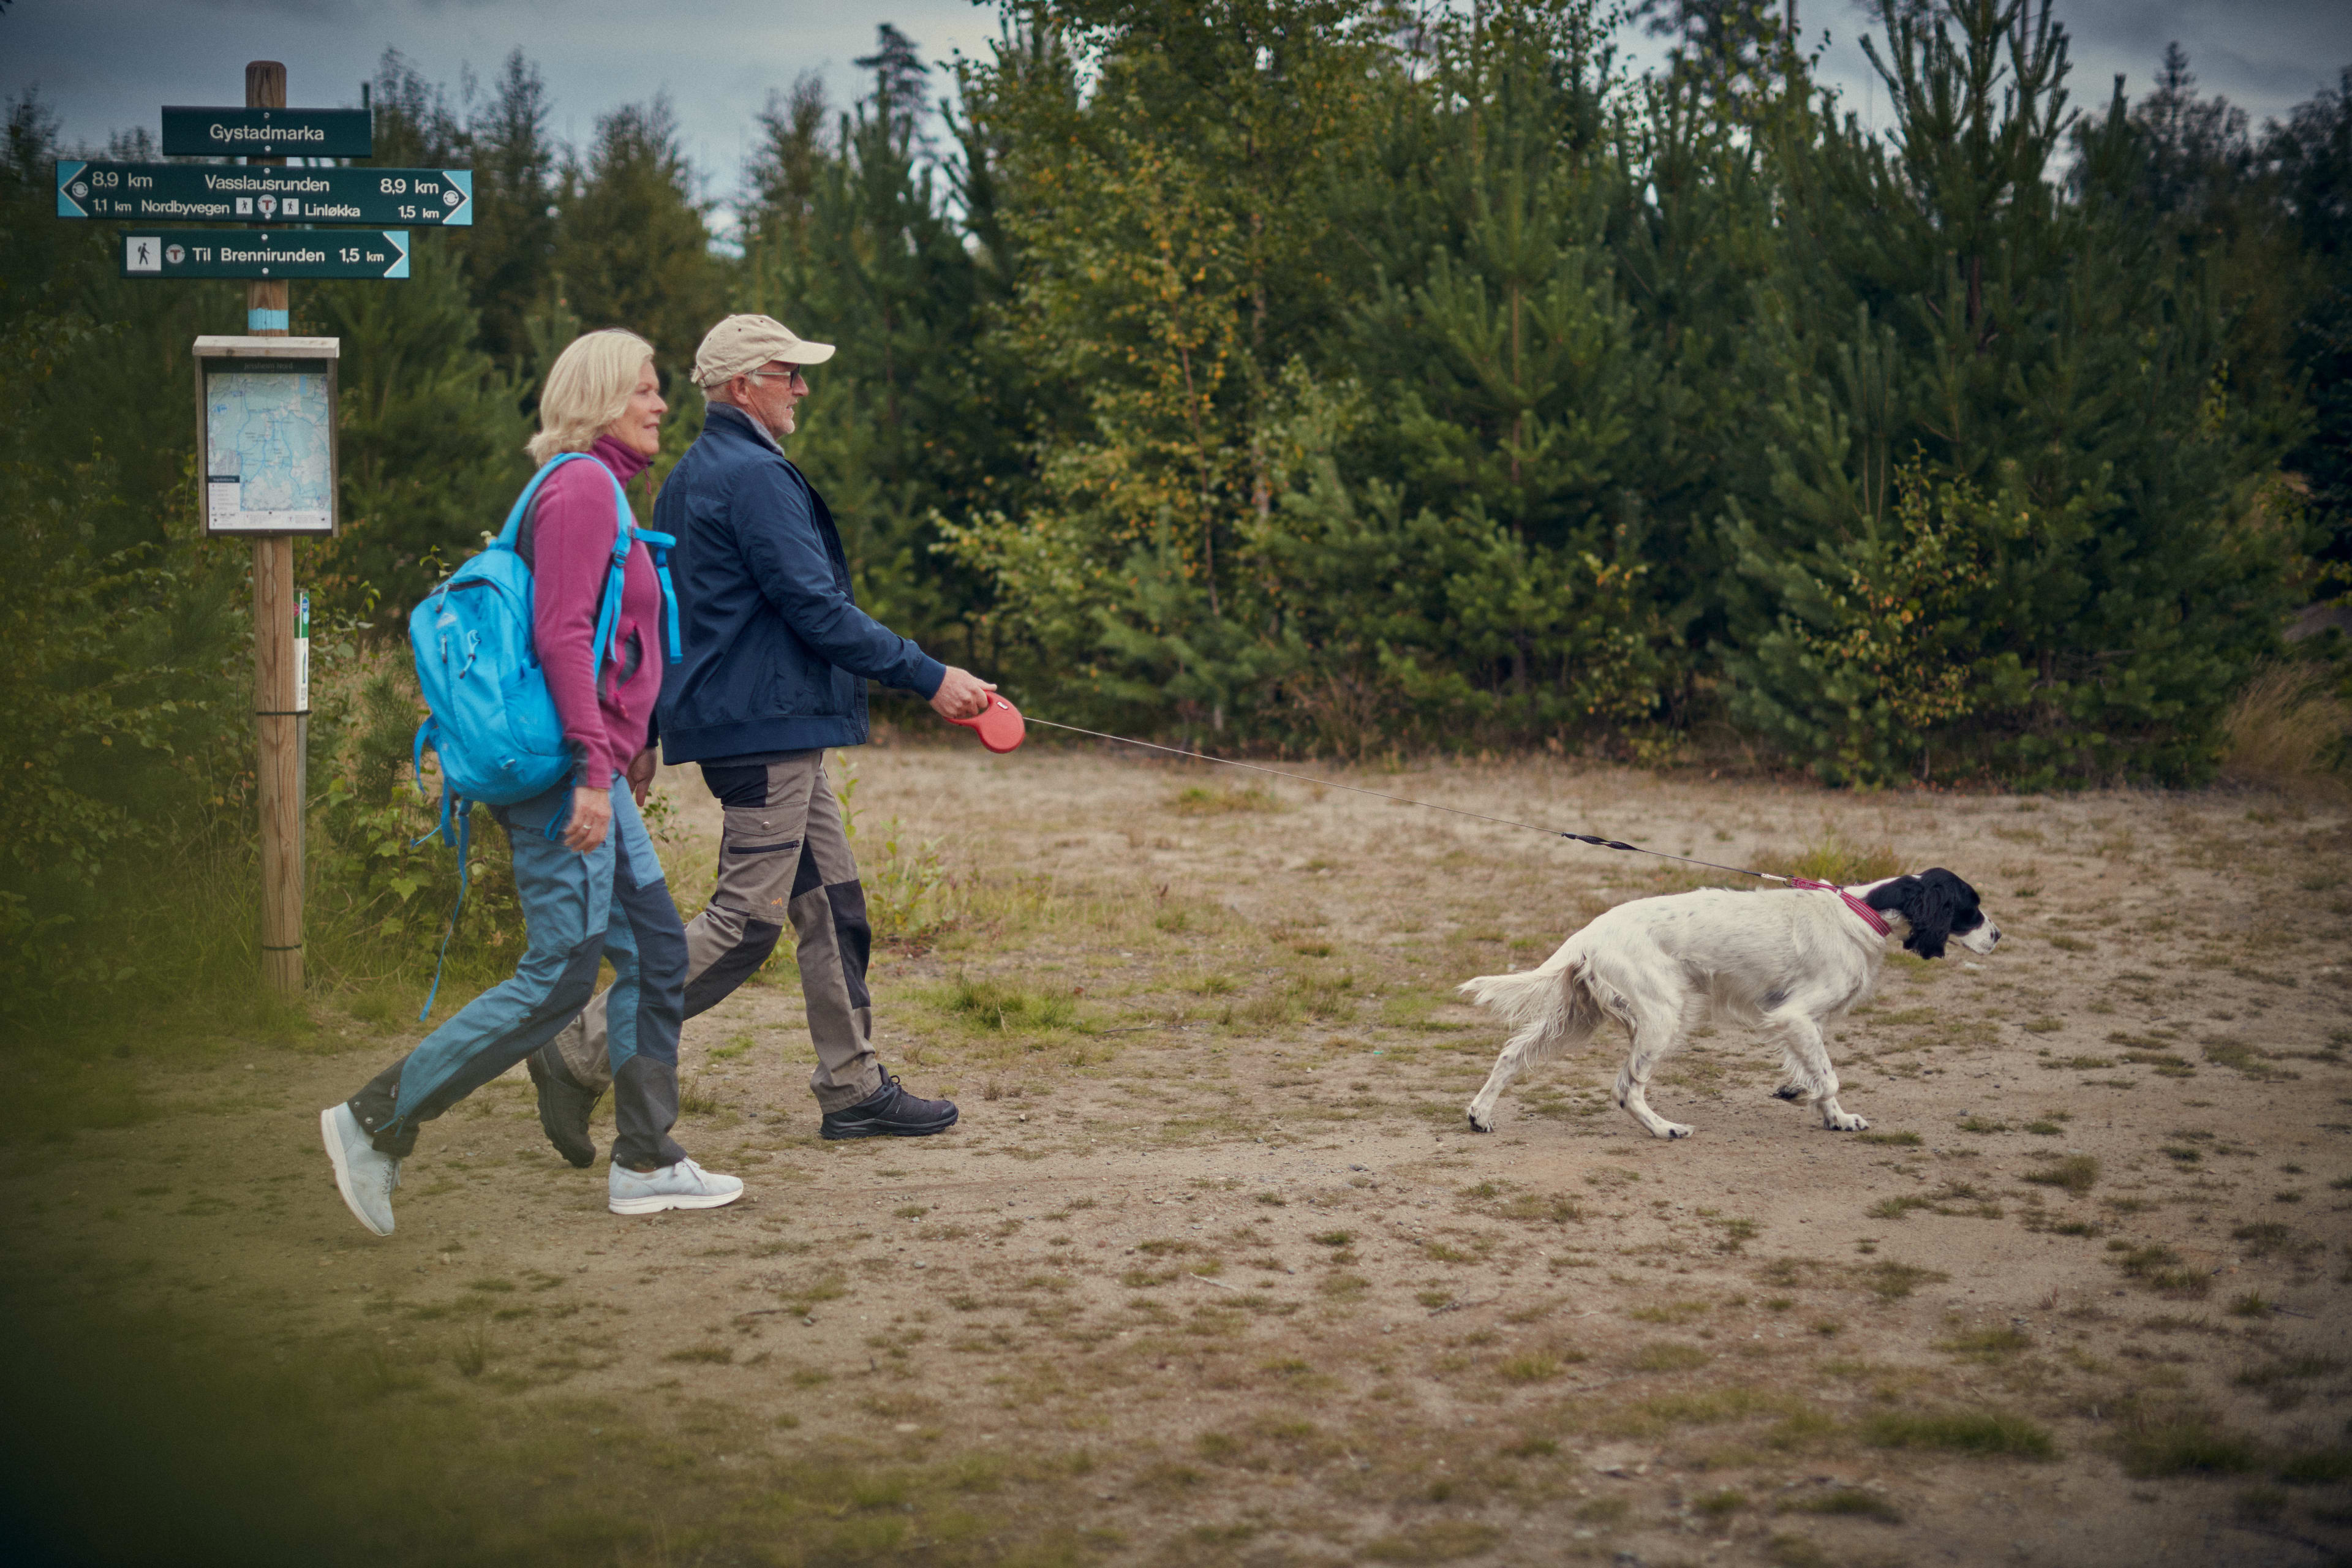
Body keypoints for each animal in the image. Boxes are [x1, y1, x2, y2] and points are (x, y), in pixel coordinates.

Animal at [1458, 870, 1994, 1142]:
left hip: (1578, 1019)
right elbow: (1829, 1077)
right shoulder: (1795, 1015)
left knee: (1512, 1055)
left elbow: (1819, 1075)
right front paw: (1815, 1102)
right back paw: (1666, 1129)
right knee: (1626, 1089)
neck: (1862, 912)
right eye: (1971, 907)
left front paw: (1835, 1117)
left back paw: (1480, 1114)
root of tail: (1588, 934)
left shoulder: (1804, 1022)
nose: (1999, 935)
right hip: (1662, 1018)